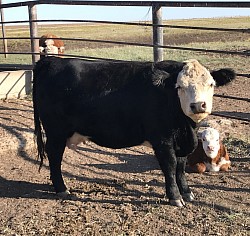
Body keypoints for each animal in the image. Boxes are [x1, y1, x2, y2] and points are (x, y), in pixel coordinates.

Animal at [32, 57, 234, 206]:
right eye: (179, 87)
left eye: (211, 84)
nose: (198, 105)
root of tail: (50, 61)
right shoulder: (162, 141)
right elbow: (170, 166)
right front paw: (175, 197)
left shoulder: (182, 142)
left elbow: (180, 167)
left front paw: (187, 192)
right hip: (56, 132)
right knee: (54, 156)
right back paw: (61, 189)